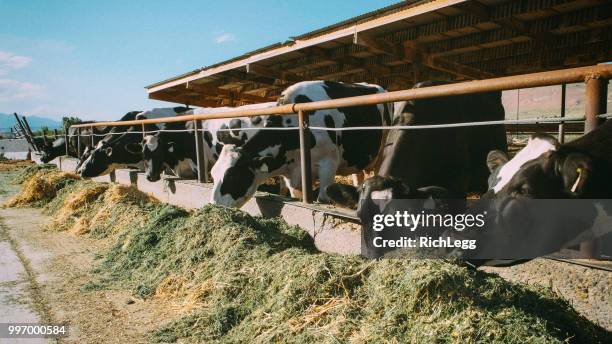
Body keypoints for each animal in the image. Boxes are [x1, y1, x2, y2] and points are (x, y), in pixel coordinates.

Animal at [210, 80, 392, 207]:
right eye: (212, 173)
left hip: (382, 149)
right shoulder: (294, 176)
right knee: (357, 175)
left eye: (232, 176)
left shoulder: (328, 163)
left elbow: (323, 199)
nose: (213, 206)